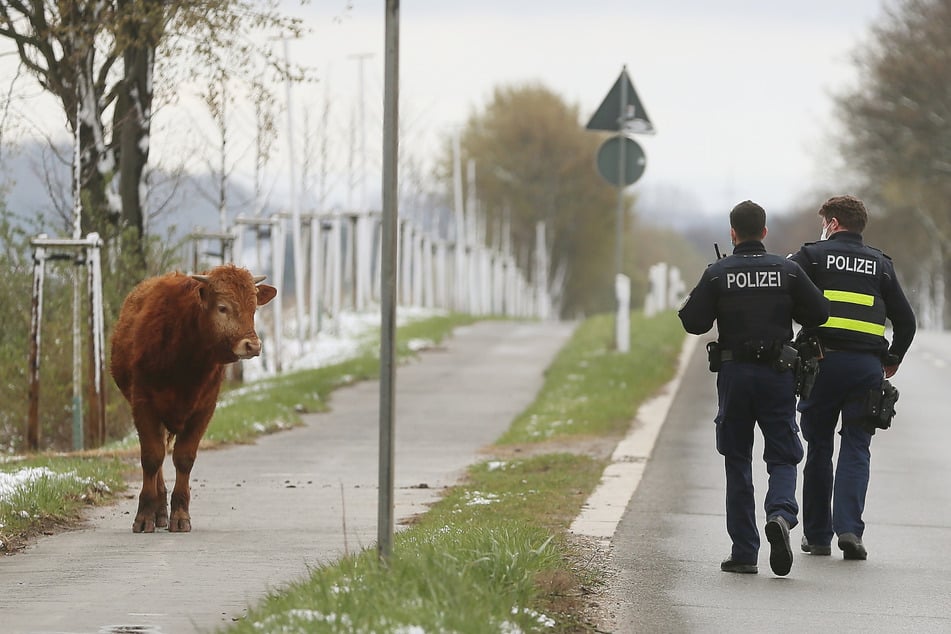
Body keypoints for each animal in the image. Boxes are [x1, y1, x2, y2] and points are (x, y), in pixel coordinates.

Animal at [112, 264, 278, 532]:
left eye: (253, 309)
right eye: (222, 307)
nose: (252, 346)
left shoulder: (204, 408)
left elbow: (184, 458)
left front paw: (180, 515)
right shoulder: (143, 404)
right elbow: (151, 457)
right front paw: (144, 515)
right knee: (157, 457)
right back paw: (157, 509)